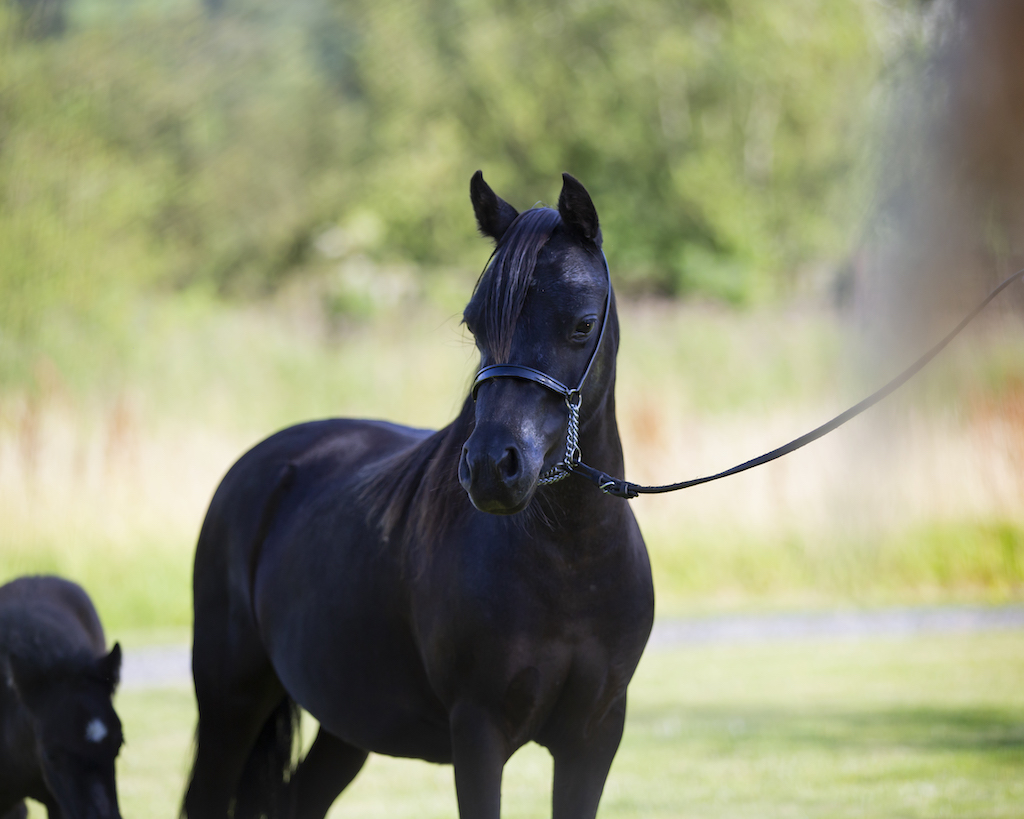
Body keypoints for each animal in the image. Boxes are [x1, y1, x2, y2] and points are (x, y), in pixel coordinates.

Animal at [182, 172, 655, 819]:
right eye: (474, 325)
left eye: (582, 324)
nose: (491, 468)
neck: (571, 565)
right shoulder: (478, 734)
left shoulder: (595, 736)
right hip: (230, 705)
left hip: (345, 723)